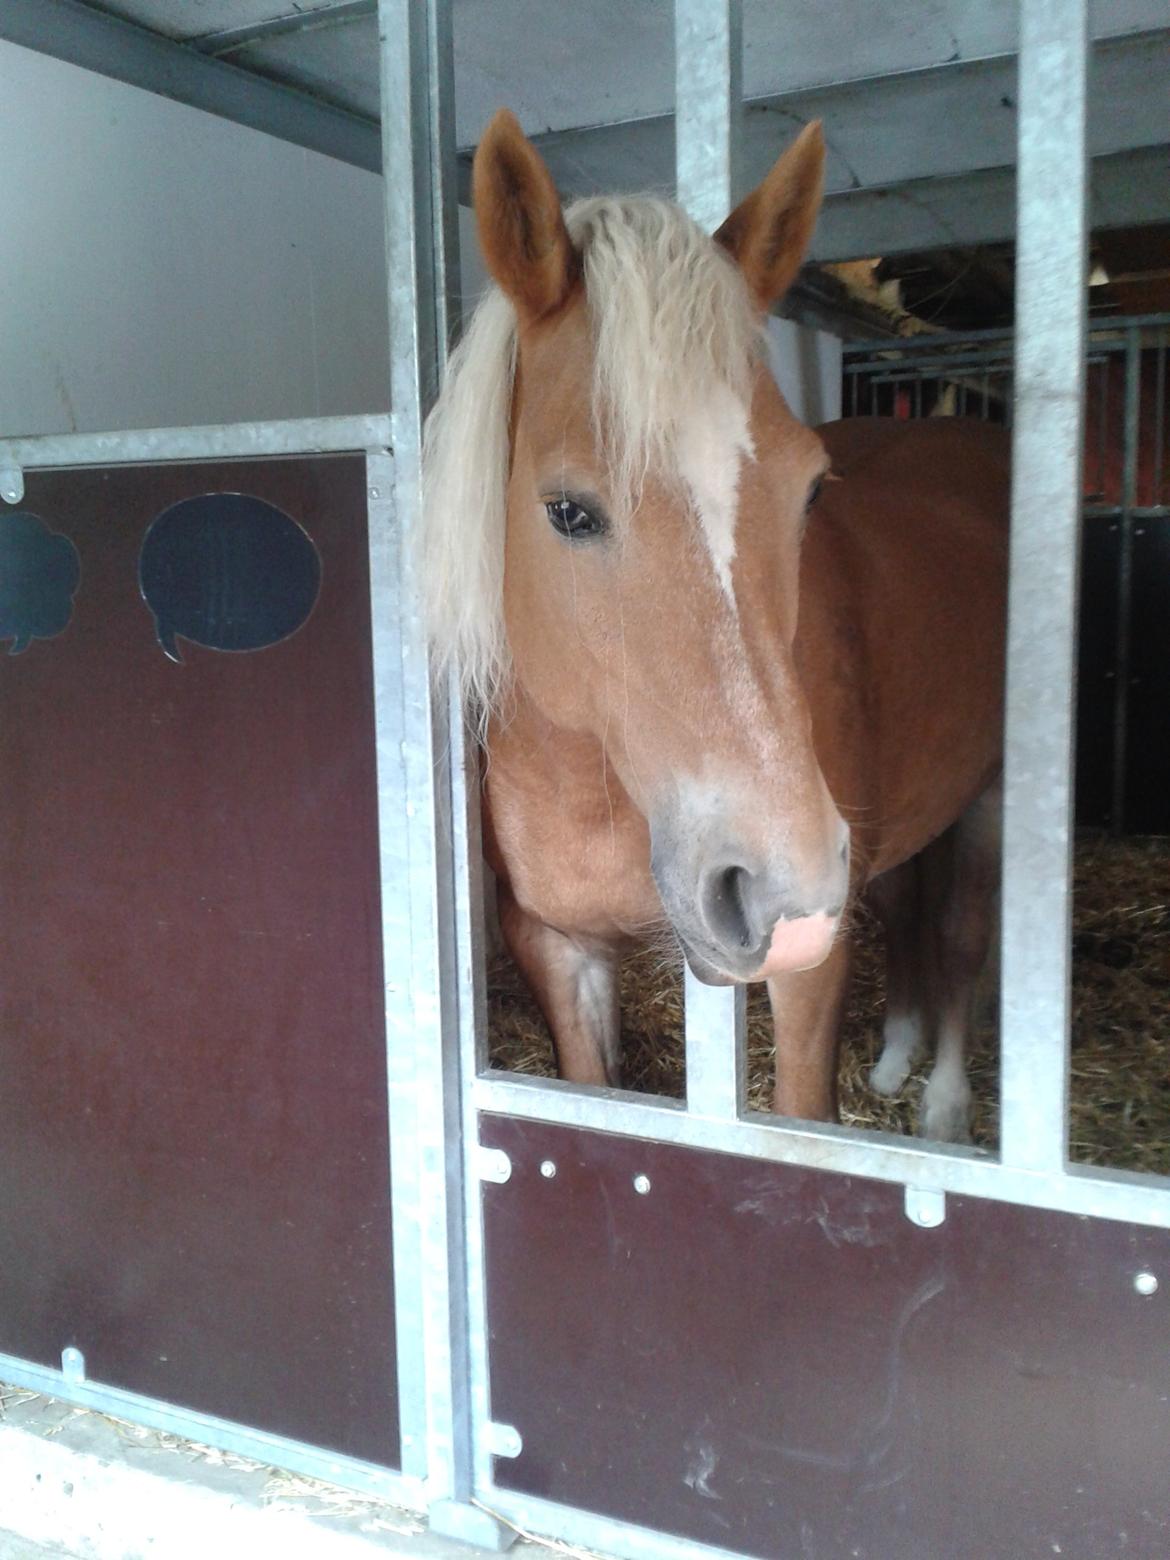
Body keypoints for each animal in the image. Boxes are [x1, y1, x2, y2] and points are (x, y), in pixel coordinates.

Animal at [421, 106, 1010, 1135]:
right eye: (567, 511)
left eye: (809, 490)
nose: (785, 889)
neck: (600, 786)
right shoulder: (558, 949)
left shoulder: (805, 979)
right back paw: (896, 1059)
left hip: (991, 797)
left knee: (964, 935)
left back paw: (939, 1107)